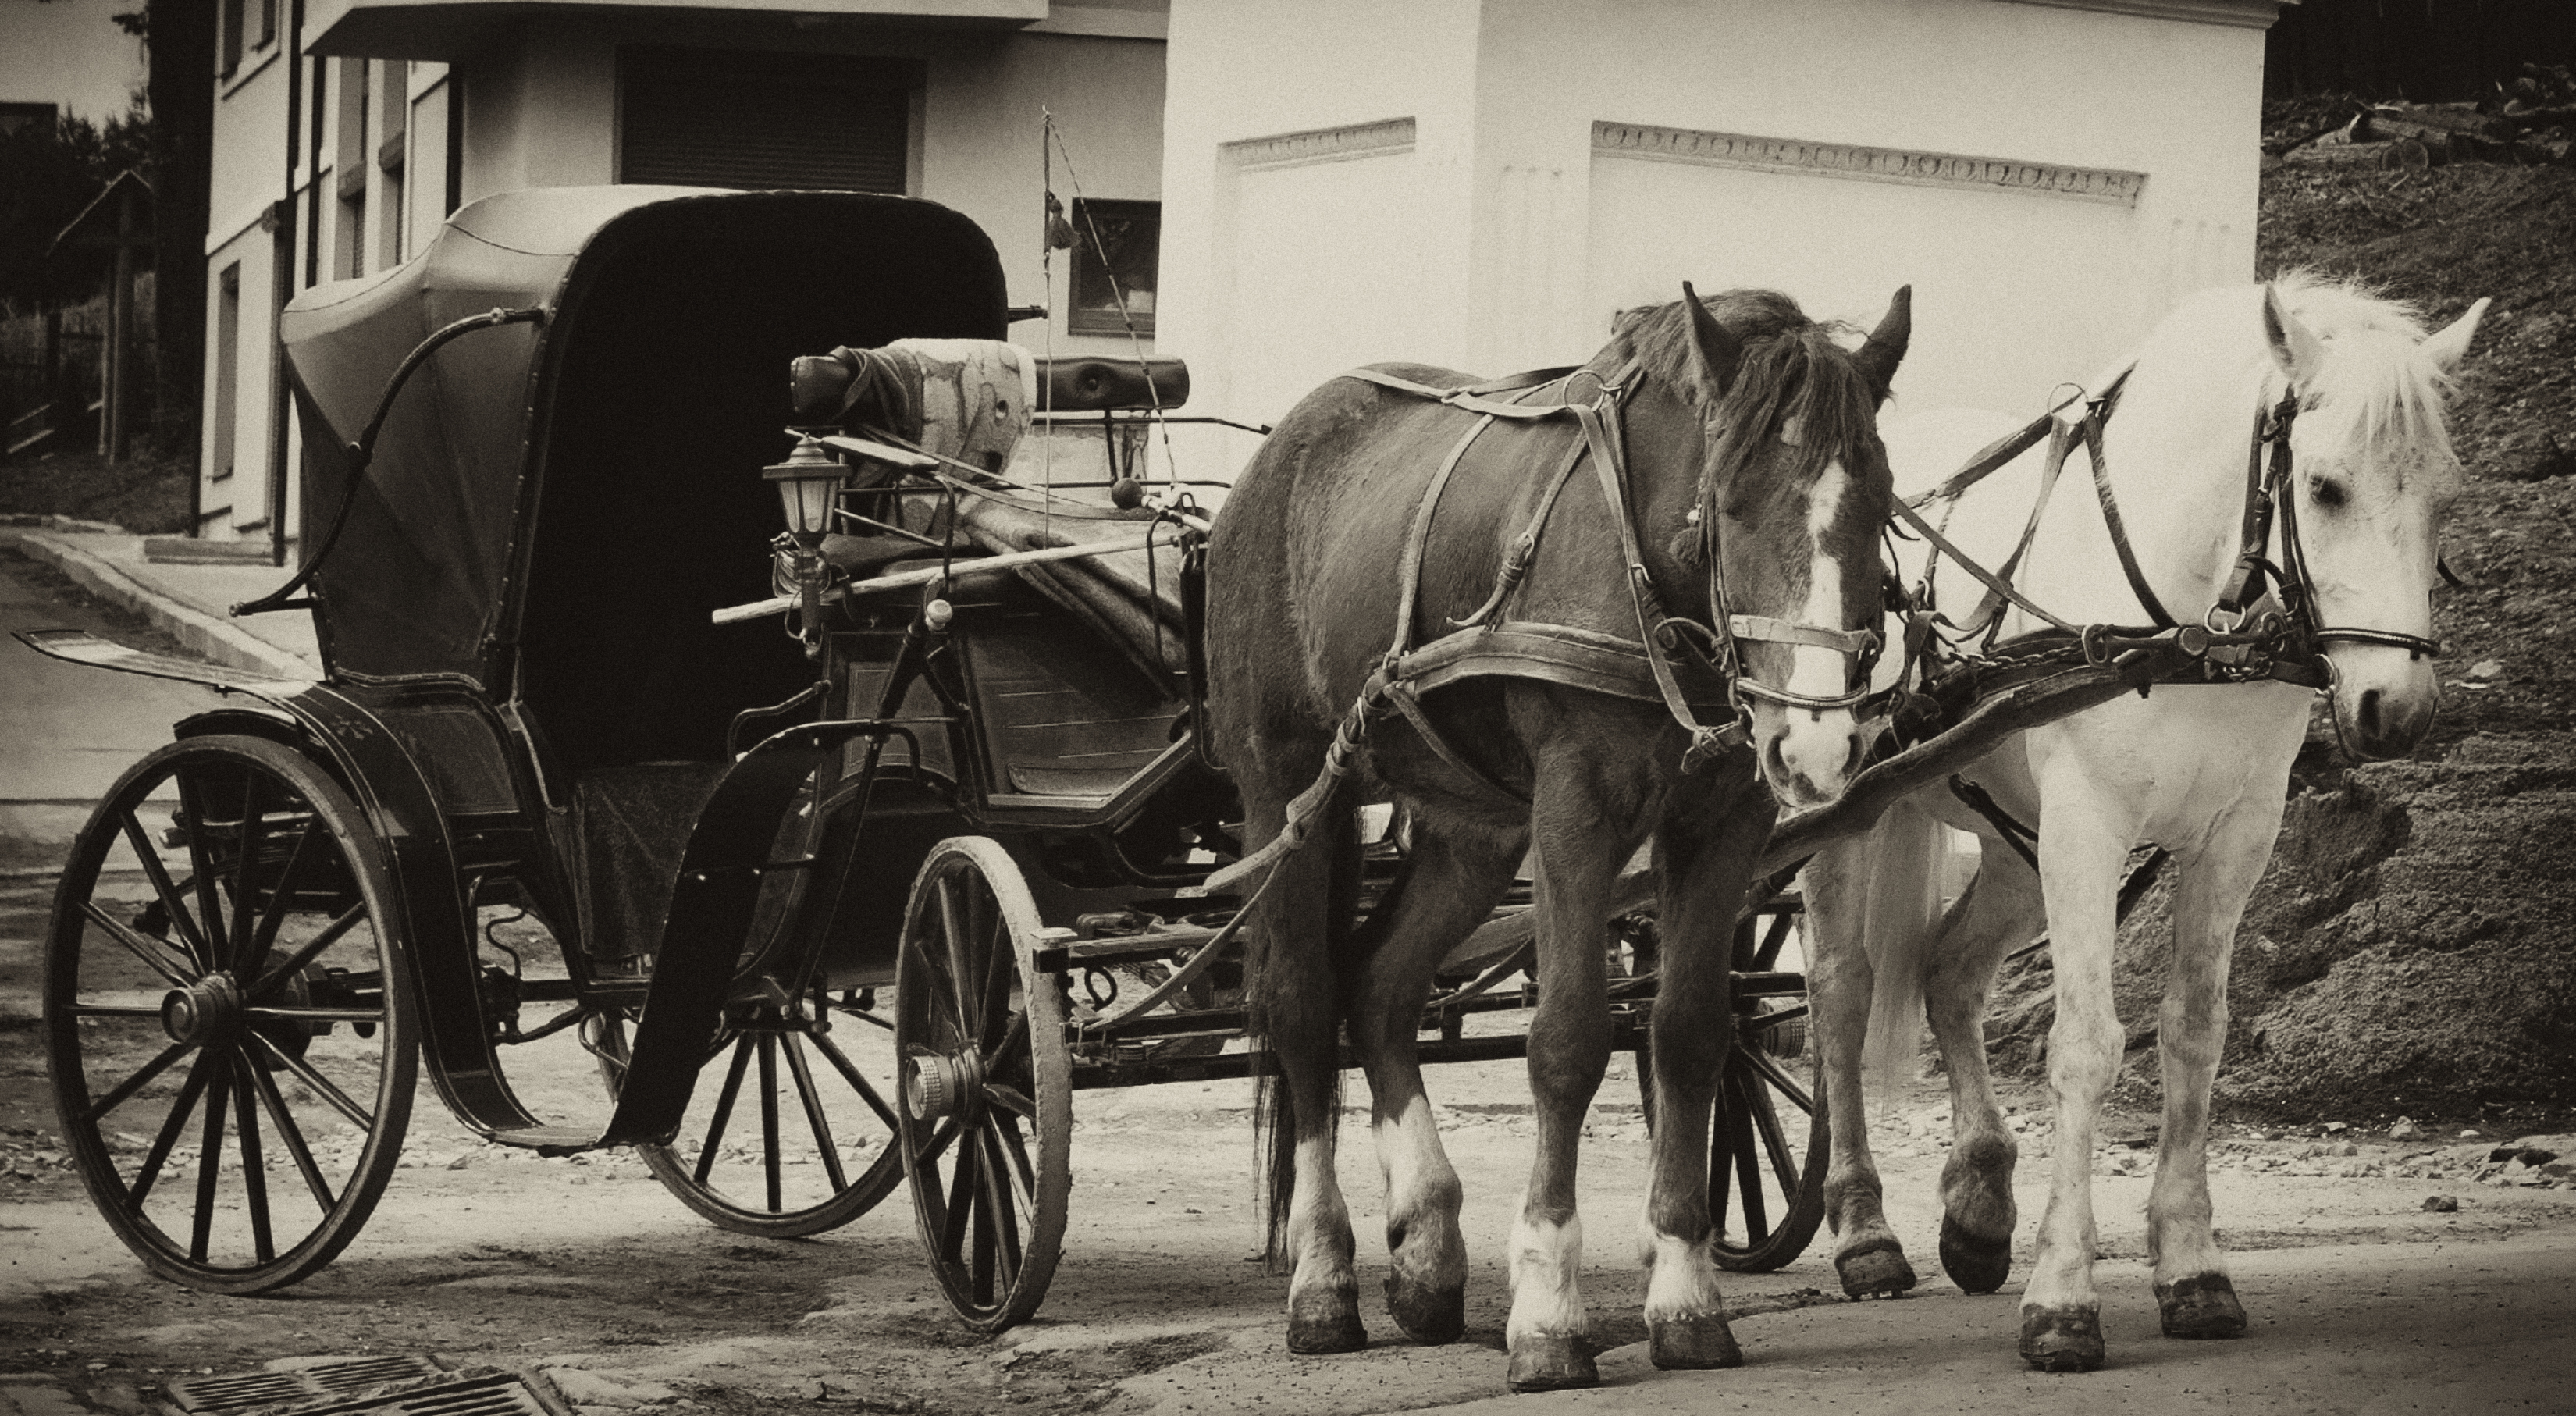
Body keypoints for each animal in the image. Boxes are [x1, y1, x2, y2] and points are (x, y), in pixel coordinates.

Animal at [1211, 283, 1916, 1390]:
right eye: (1731, 502)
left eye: (1878, 500)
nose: (1815, 735)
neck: (1651, 576)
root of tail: (1278, 453)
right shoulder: (1576, 809)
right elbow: (1568, 1039)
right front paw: (1547, 1307)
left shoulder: (1724, 819)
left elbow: (1691, 1033)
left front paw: (1685, 1291)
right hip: (1283, 789)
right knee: (1302, 1008)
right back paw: (1324, 1275)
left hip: (1470, 827)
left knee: (1379, 985)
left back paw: (1427, 1241)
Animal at [1803, 274, 2483, 1379]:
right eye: (2326, 487)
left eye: (2446, 495)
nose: (2401, 706)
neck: (2186, 621)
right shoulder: (2088, 824)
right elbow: (2086, 1043)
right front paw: (2062, 1296)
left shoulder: (2235, 836)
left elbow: (2195, 1034)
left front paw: (2192, 1264)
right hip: (1843, 809)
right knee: (1839, 989)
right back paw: (1864, 1228)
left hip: (2012, 846)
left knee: (1951, 968)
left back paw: (1980, 1196)